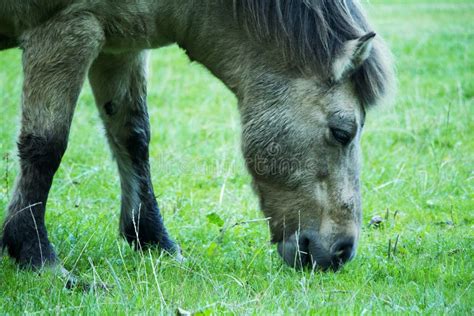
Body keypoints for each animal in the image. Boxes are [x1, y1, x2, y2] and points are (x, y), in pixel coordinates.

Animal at [0, 0, 394, 272]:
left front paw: (155, 242)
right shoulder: (66, 29)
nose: (342, 251)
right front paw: (36, 255)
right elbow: (46, 147)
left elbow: (134, 138)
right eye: (342, 132)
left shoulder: (119, 44)